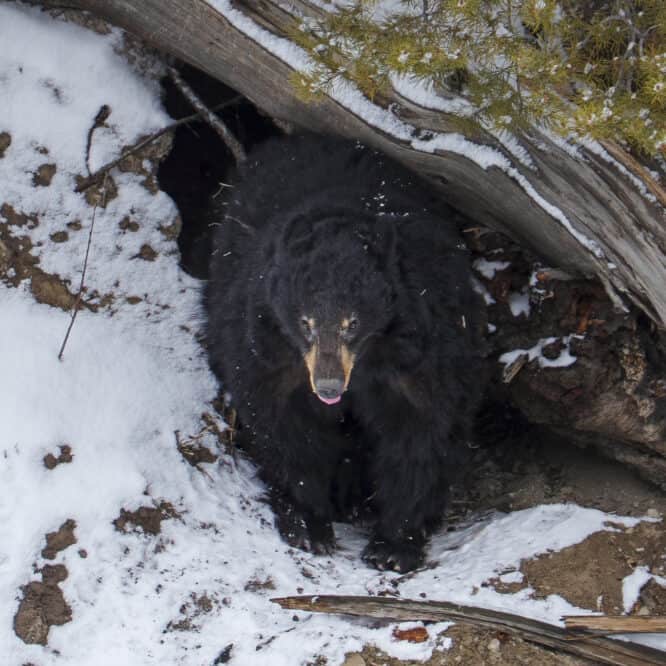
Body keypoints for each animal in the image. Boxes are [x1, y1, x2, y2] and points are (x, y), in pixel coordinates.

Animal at [205, 133, 485, 572]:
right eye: (305, 322)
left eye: (353, 323)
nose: (329, 386)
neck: (368, 360)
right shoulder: (268, 346)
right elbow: (281, 424)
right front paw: (307, 523)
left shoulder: (424, 348)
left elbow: (423, 428)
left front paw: (394, 544)